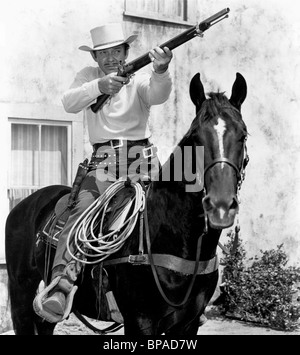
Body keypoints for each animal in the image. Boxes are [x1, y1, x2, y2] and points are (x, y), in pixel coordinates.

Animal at [5, 73, 248, 336]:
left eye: (243, 135)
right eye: (195, 138)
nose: (220, 205)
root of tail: (24, 205)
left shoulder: (188, 323)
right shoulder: (140, 322)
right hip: (21, 293)